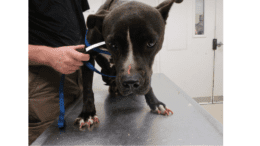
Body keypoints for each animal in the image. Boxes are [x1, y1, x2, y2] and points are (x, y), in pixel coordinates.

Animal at [74, 0, 184, 130]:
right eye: (113, 44)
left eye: (151, 43)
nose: (130, 82)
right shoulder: (87, 56)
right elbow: (87, 88)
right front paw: (87, 114)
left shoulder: (148, 71)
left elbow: (148, 83)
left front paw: (155, 103)